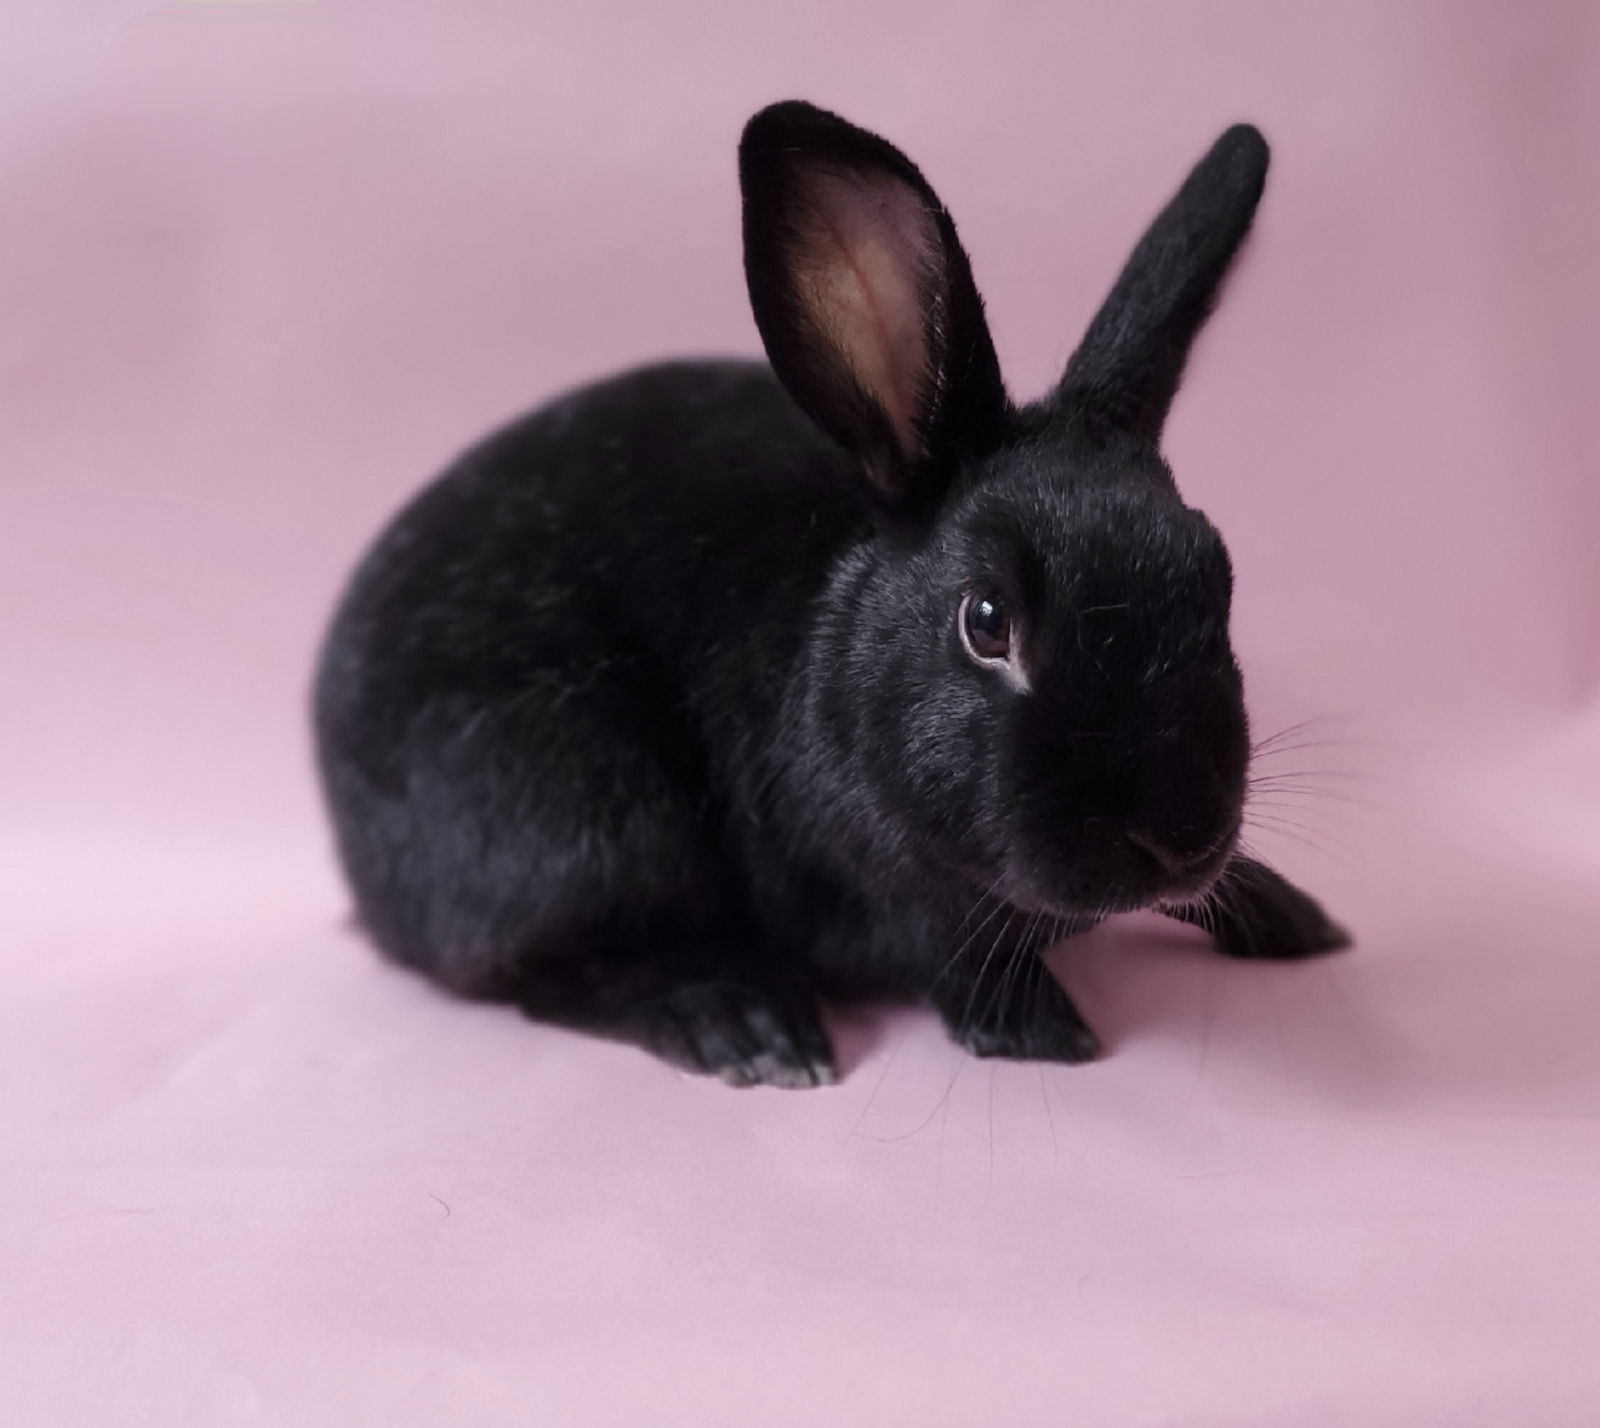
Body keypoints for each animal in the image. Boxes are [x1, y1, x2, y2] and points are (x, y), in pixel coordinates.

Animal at [312, 97, 1350, 1082]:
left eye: (1216, 578)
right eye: (987, 621)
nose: (1180, 839)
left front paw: (1293, 918)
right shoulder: (866, 897)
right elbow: (954, 957)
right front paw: (1039, 1029)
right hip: (571, 811)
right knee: (550, 970)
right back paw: (740, 1022)